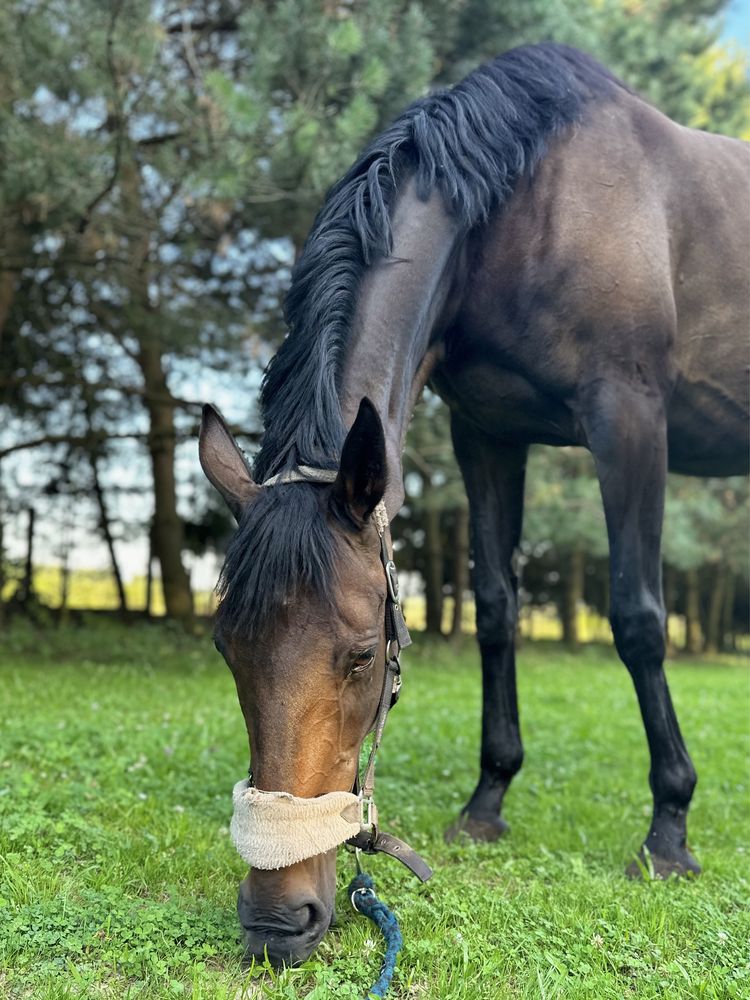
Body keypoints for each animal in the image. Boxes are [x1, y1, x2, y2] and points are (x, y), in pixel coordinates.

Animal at [200, 45, 750, 968]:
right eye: (228, 648)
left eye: (361, 656)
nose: (277, 921)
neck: (529, 204)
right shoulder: (487, 434)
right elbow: (495, 608)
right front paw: (487, 801)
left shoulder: (629, 416)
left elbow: (638, 617)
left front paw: (669, 830)